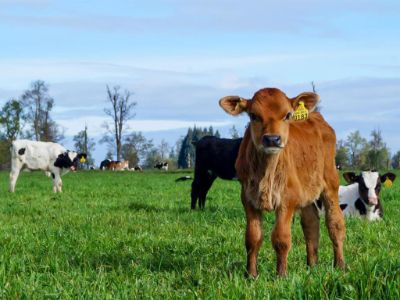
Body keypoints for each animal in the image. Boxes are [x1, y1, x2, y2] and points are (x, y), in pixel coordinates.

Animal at [217, 88, 346, 278]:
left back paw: (340, 265)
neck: (266, 174)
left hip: (330, 182)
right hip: (306, 191)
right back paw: (312, 265)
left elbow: (281, 238)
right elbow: (252, 237)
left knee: (335, 224)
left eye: (287, 115)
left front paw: (281, 275)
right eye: (253, 115)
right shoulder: (248, 199)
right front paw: (251, 275)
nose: (272, 139)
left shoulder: (287, 200)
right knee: (311, 223)